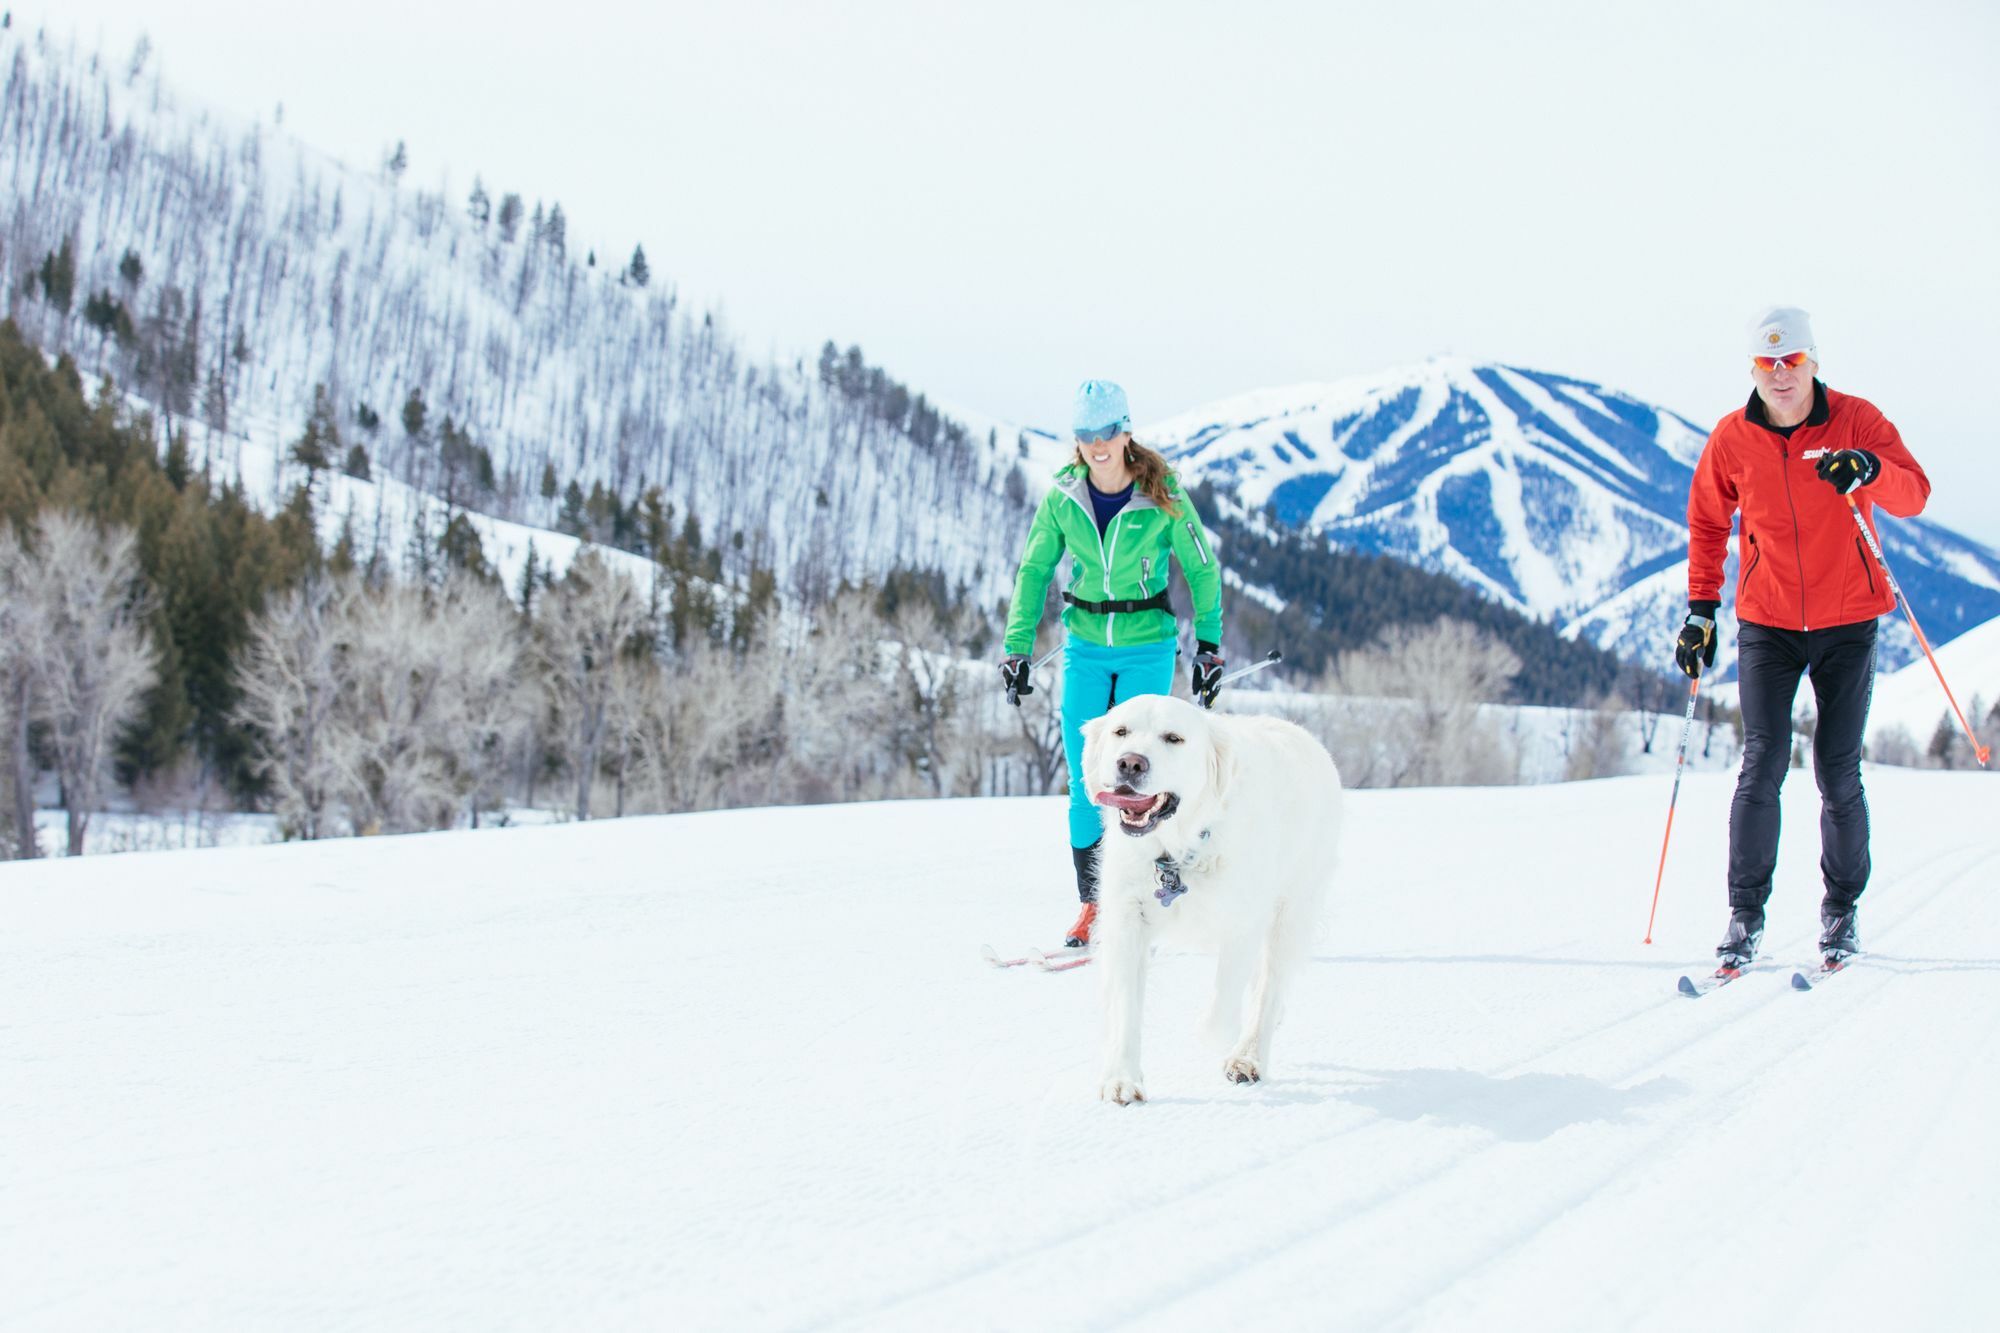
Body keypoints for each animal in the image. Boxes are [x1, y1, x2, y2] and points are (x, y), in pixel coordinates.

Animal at [1080, 684, 1344, 1096]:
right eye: (1121, 732)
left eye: (1173, 738)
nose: (1130, 764)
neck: (1178, 851)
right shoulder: (1126, 917)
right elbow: (1124, 1005)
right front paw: (1121, 1079)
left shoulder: (1244, 920)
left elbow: (1221, 1011)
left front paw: (1220, 1037)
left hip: (1291, 911)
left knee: (1269, 988)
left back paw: (1247, 1058)